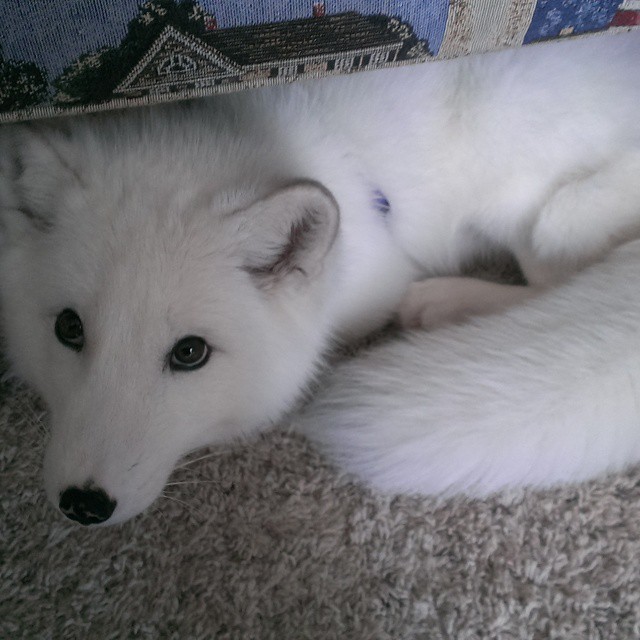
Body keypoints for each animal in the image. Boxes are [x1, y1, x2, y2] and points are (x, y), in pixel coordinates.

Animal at [0, 30, 639, 526]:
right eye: (68, 328)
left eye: (189, 353)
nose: (83, 504)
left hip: (528, 198)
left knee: (556, 271)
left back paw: (443, 302)